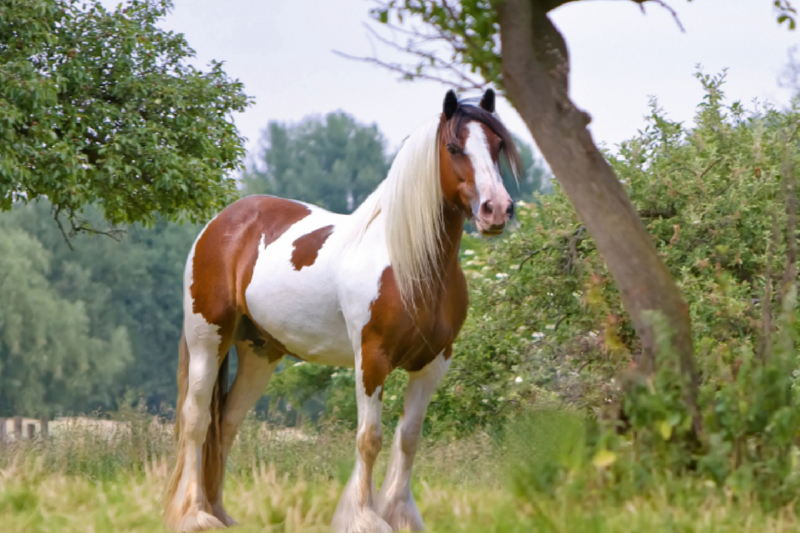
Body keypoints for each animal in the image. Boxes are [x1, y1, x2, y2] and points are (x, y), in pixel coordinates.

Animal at [166, 89, 520, 528]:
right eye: (455, 147)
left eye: (497, 145)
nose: (496, 209)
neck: (410, 265)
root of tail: (221, 223)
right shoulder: (372, 359)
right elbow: (370, 439)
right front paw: (365, 518)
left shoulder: (433, 363)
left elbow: (409, 438)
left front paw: (400, 516)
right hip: (207, 340)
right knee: (197, 420)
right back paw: (194, 514)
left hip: (259, 351)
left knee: (227, 422)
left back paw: (221, 513)